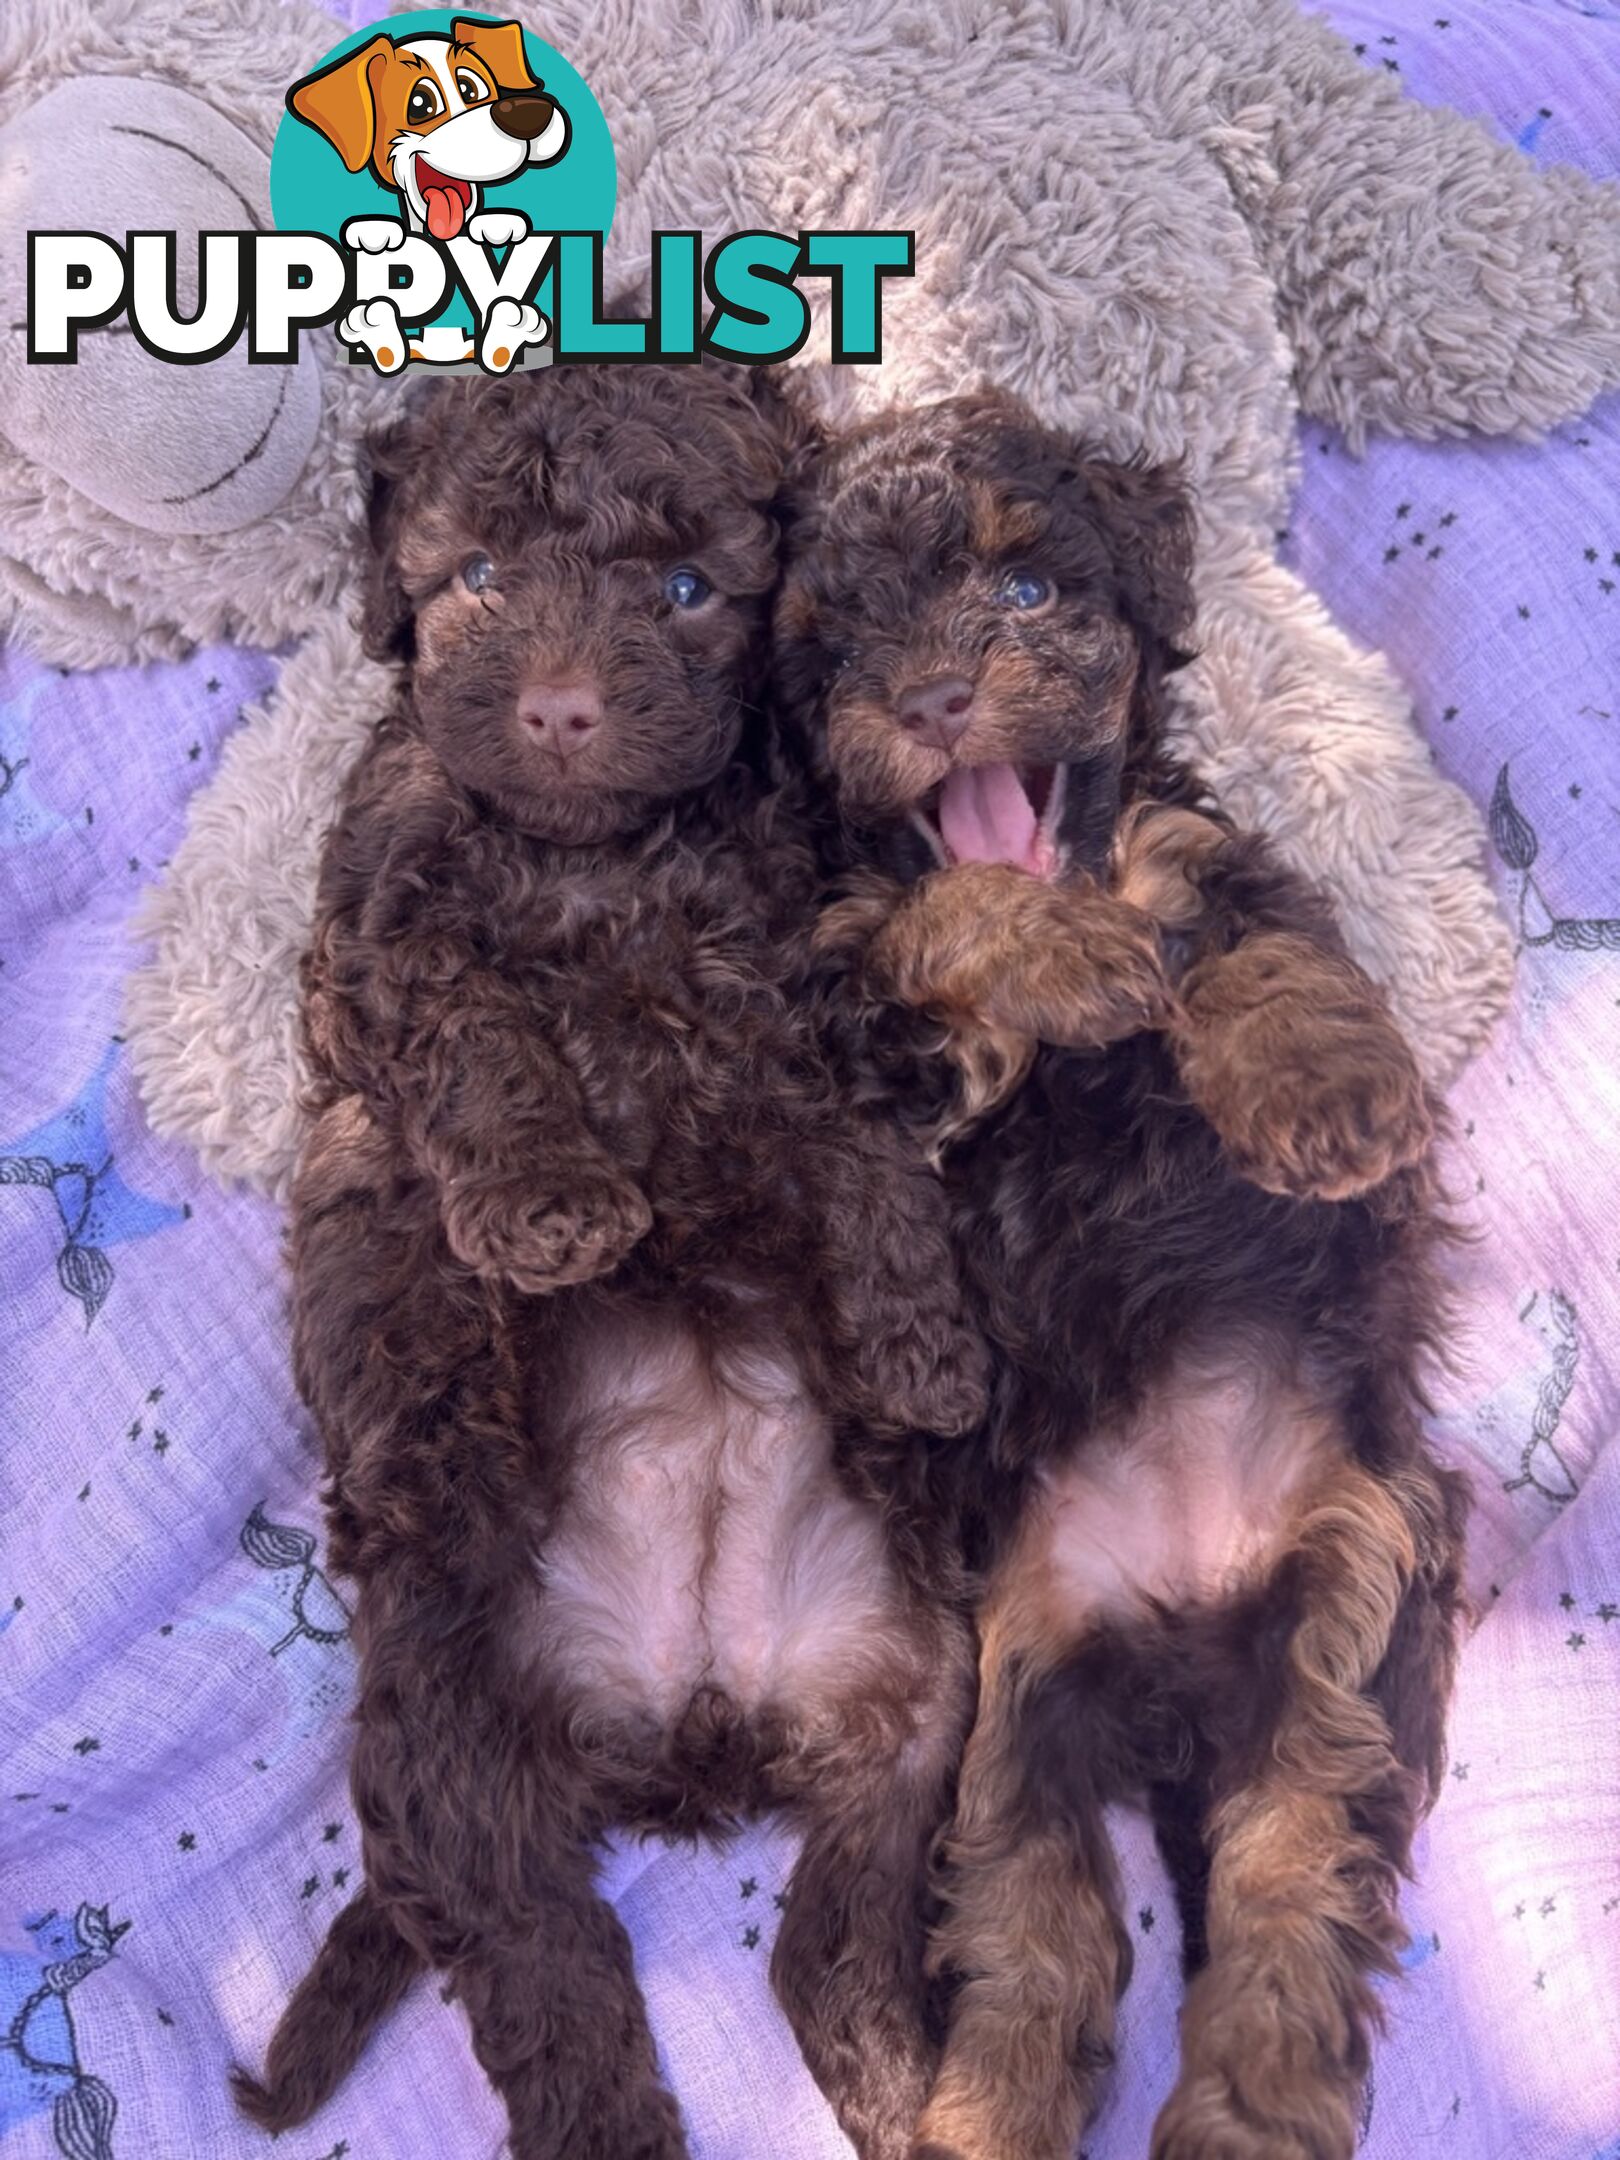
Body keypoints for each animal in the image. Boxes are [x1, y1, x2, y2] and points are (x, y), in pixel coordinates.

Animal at [234, 371, 989, 2160]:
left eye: (688, 590)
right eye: (480, 576)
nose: (566, 709)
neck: (607, 857)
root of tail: (692, 1712)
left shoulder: (813, 969)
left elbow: (863, 1141)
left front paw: (922, 1339)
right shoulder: (395, 928)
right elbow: (489, 1047)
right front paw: (551, 1205)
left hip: (929, 1691)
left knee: (843, 1929)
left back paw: (908, 2081)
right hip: (448, 1731)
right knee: (546, 1970)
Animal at [781, 388, 1477, 2160]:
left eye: (1024, 591)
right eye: (836, 653)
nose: (934, 700)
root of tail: (1181, 1645)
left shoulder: (1211, 859)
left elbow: (1252, 954)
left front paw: (1320, 1095)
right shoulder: (864, 1011)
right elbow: (946, 913)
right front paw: (1076, 959)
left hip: (1350, 1602)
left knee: (1295, 1873)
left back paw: (1253, 2105)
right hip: (1020, 1679)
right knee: (1031, 1916)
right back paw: (990, 2106)